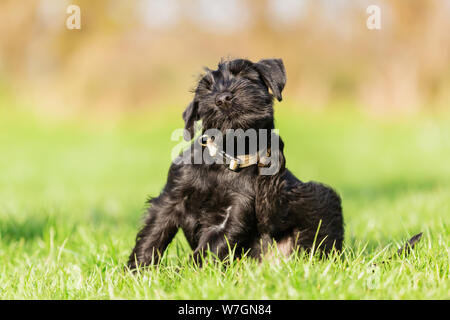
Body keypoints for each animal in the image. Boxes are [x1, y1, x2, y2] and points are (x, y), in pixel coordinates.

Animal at [127, 57, 344, 268]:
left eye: (245, 76)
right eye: (206, 89)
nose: (223, 98)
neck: (226, 160)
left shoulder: (236, 211)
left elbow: (211, 247)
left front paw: (188, 274)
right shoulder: (171, 198)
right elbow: (154, 234)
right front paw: (137, 270)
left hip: (319, 197)